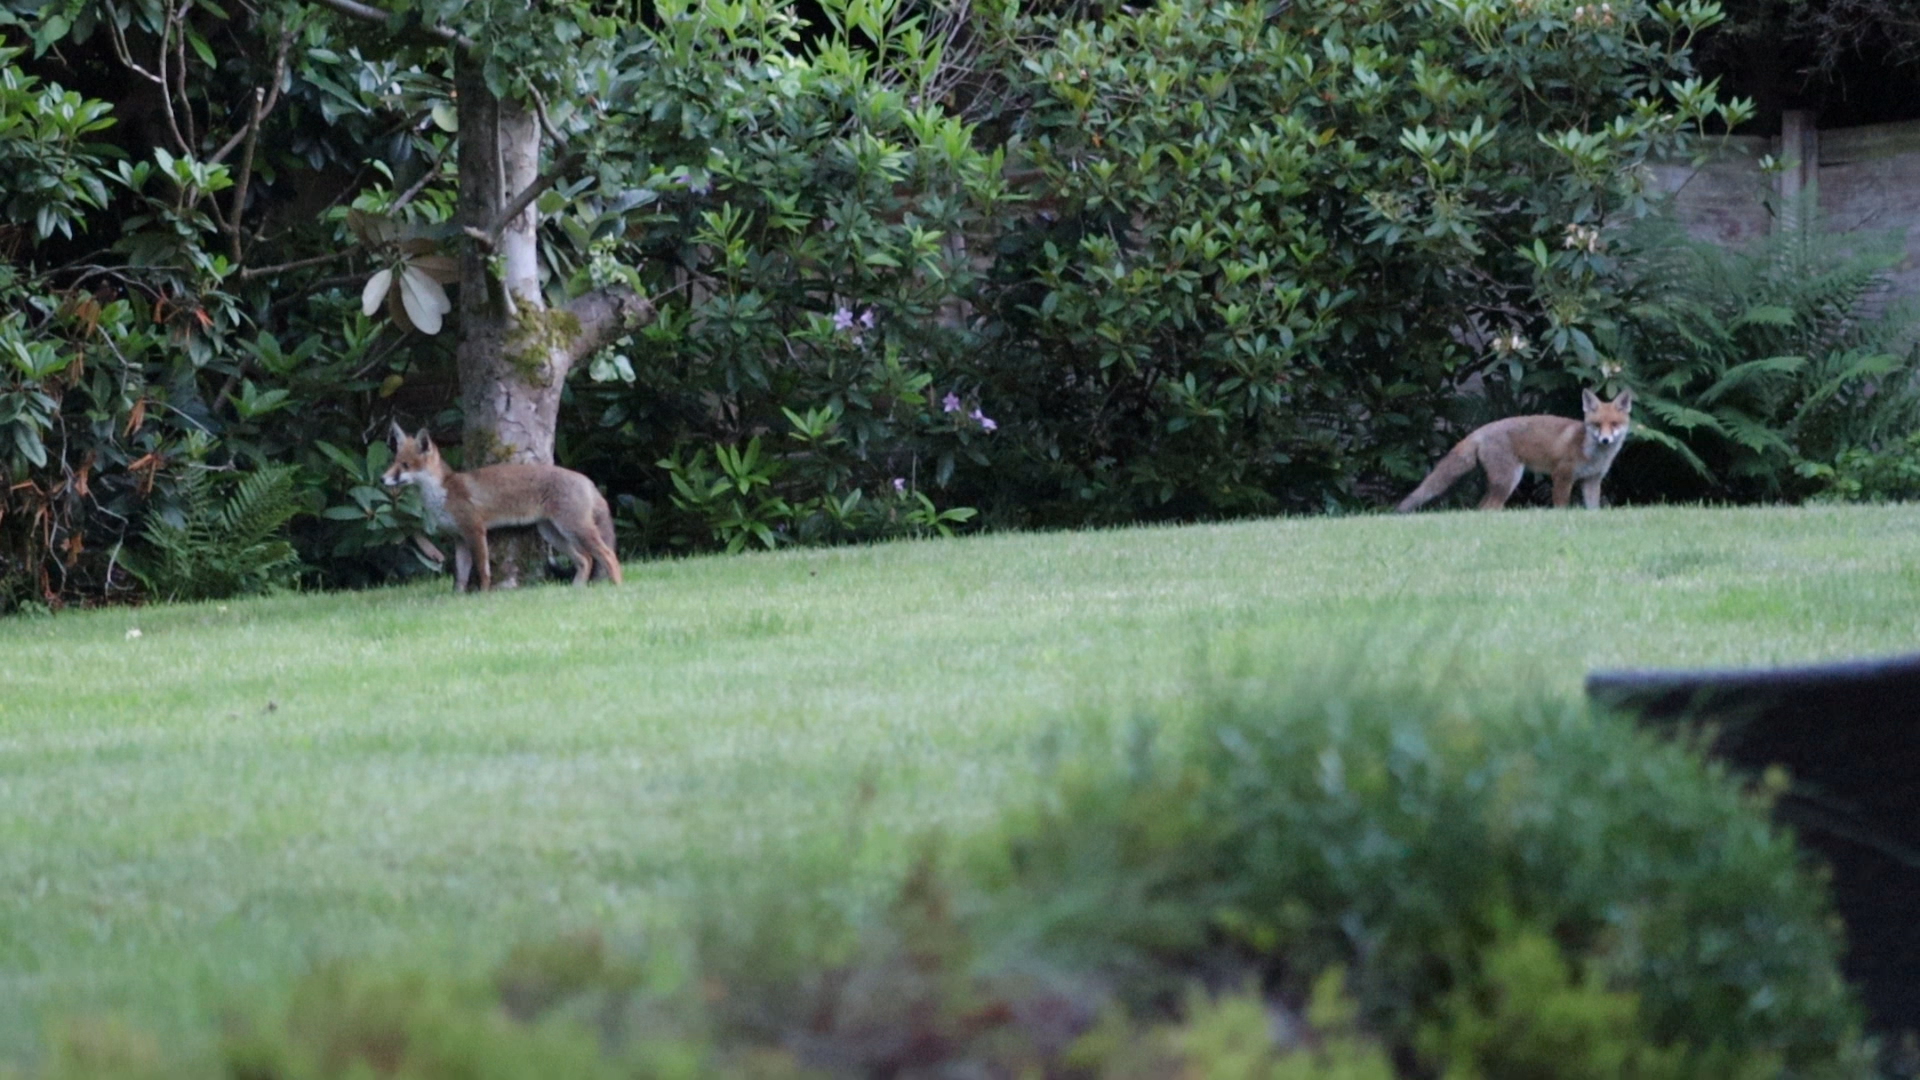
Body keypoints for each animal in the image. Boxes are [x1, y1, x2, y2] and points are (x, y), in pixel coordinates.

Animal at [380, 425, 623, 590]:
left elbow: (483, 570)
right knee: (585, 560)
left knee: (608, 554)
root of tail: (586, 479)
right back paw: (576, 589)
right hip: (553, 534)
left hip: (574, 529)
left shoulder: (475, 531)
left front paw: (484, 596)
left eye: (405, 466)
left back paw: (617, 587)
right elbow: (461, 576)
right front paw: (458, 598)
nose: (382, 479)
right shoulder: (459, 538)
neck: (443, 492)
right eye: (393, 462)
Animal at [1396, 388, 1633, 513]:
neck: (1592, 453)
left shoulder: (1592, 480)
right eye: (1597, 425)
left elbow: (1593, 509)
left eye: (1614, 424)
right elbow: (1561, 506)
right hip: (1509, 479)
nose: (1605, 440)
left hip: (1501, 482)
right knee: (1488, 507)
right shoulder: (1562, 475)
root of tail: (1480, 430)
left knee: (1480, 507)